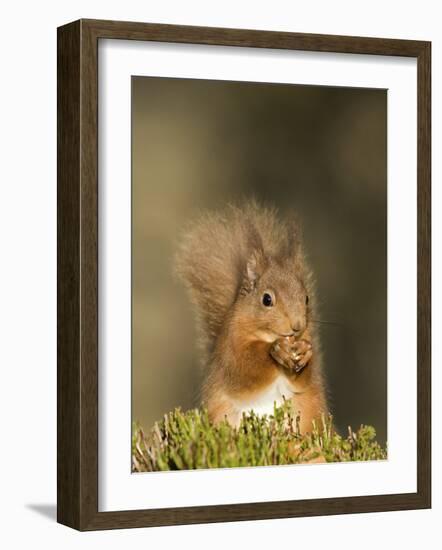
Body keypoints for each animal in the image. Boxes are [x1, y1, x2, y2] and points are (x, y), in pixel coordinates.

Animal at [176, 201, 328, 434]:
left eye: (306, 298)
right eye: (266, 299)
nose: (297, 326)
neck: (266, 335)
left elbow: (303, 381)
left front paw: (303, 352)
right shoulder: (230, 351)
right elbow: (245, 371)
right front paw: (275, 350)